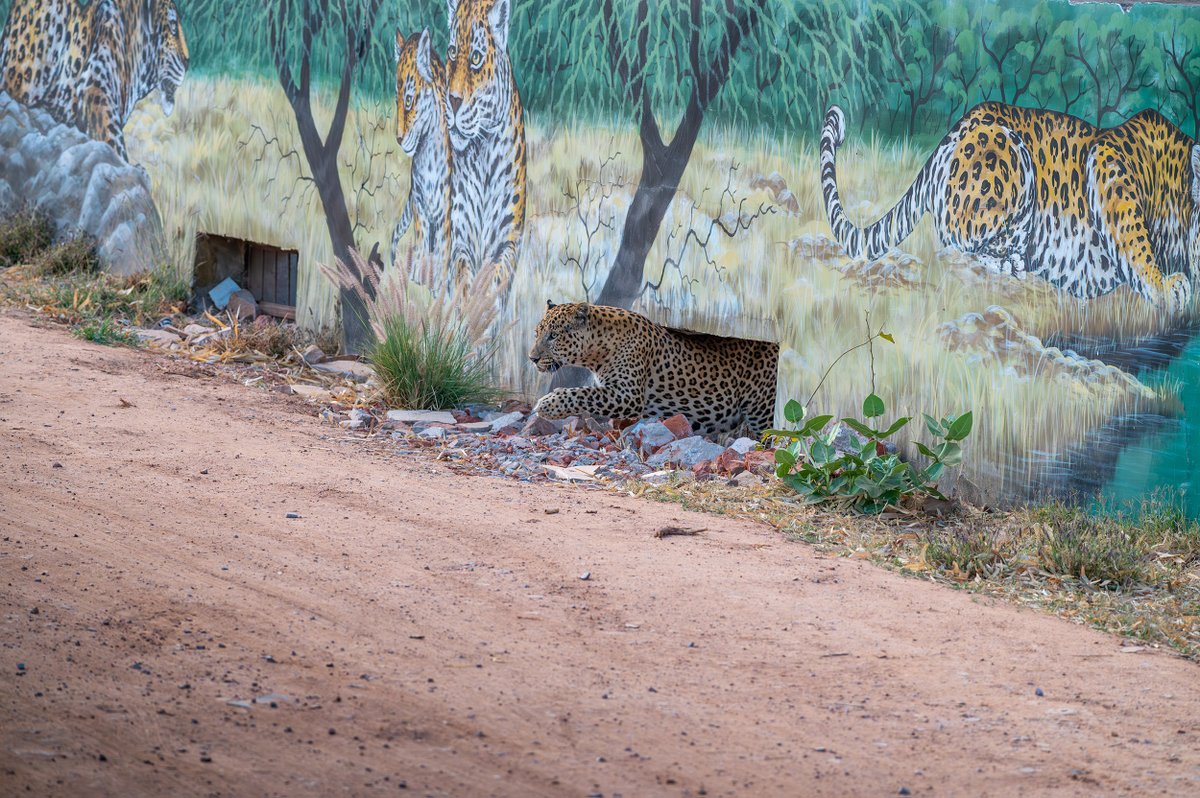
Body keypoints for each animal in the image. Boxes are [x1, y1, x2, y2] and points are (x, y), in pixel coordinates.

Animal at [444, 0, 527, 284]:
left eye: (476, 58)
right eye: (452, 52)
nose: (452, 100)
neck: (483, 152)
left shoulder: (507, 240)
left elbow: (494, 283)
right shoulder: (460, 238)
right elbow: (463, 283)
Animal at [820, 103, 1198, 310]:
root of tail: (956, 129)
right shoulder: (1109, 162)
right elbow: (1134, 236)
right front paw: (1166, 289)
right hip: (1010, 154)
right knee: (960, 245)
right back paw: (1013, 264)